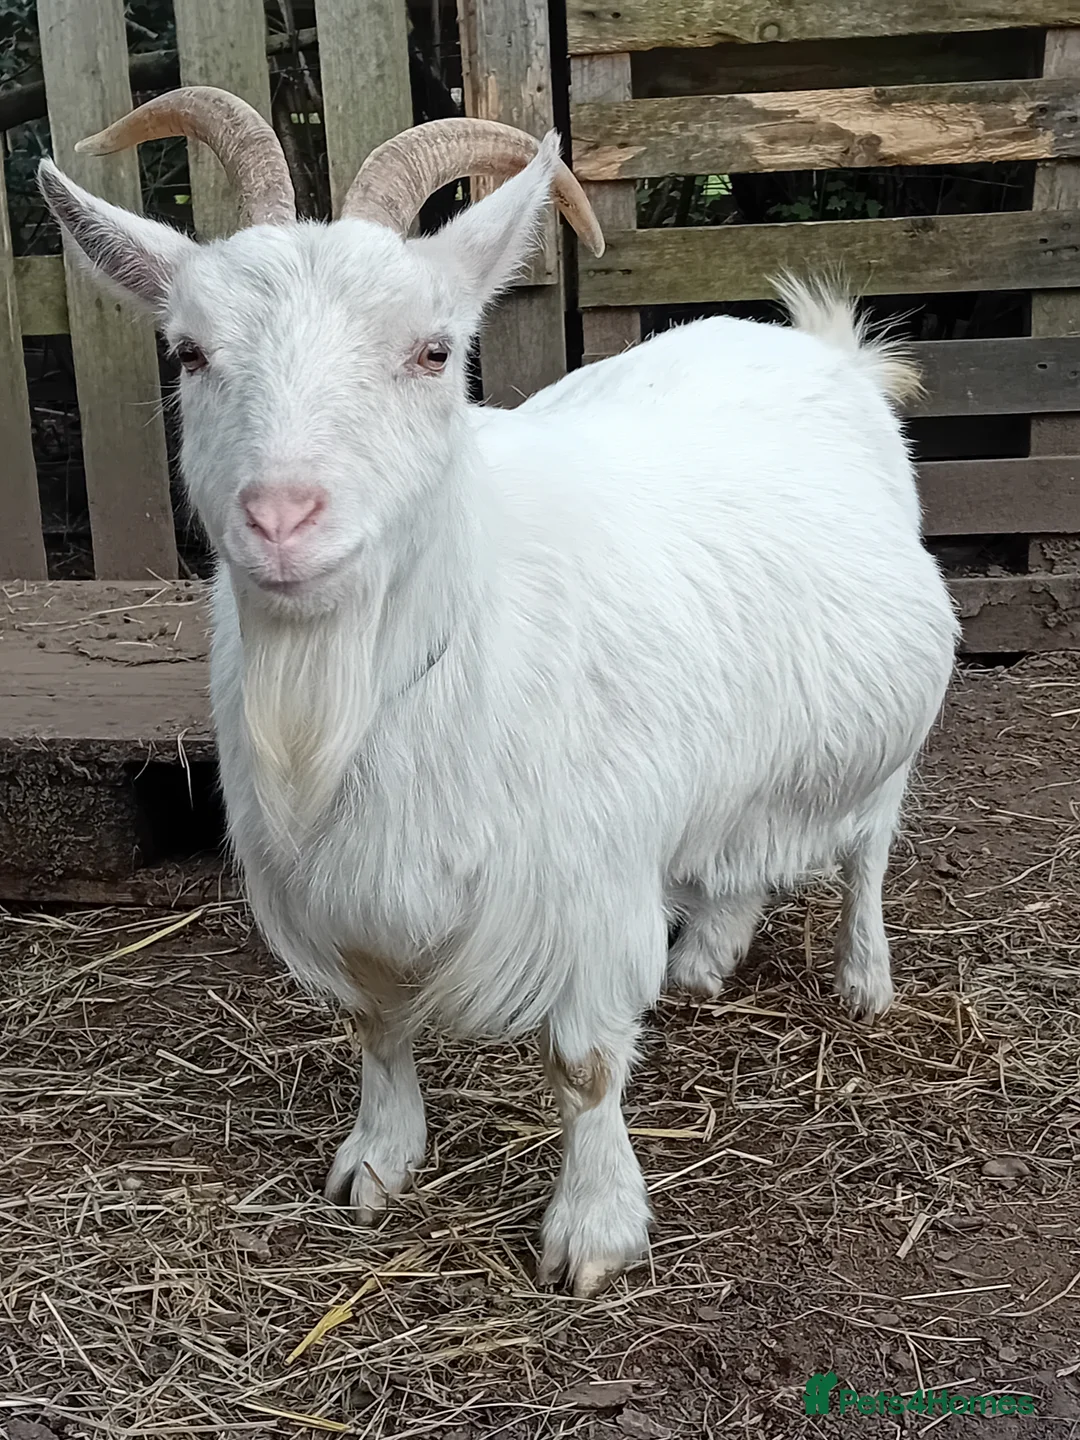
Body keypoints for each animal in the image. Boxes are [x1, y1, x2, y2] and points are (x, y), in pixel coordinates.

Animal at [41, 87, 958, 1297]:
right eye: (189, 353)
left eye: (434, 350)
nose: (281, 517)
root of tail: (823, 350)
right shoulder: (346, 889)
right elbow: (375, 1026)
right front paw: (377, 1161)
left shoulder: (591, 878)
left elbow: (585, 1063)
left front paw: (595, 1230)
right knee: (739, 850)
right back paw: (706, 959)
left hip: (888, 734)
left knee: (866, 853)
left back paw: (864, 978)